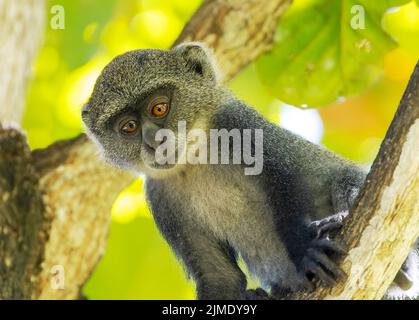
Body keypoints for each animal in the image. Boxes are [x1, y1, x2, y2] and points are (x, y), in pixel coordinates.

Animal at [82, 42, 419, 300]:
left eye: (159, 108)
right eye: (129, 127)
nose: (154, 141)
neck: (195, 158)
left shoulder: (239, 124)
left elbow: (287, 183)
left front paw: (306, 253)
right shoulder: (161, 197)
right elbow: (219, 278)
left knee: (345, 181)